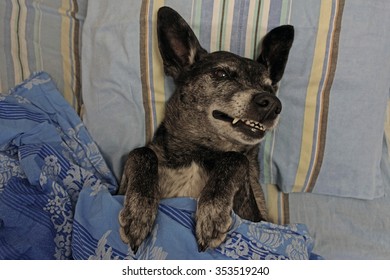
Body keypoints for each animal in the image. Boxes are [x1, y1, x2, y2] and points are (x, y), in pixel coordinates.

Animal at [117, 6, 294, 253]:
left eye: (269, 87)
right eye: (222, 74)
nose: (272, 104)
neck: (199, 153)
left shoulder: (253, 219)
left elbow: (235, 159)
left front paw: (212, 212)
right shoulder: (117, 190)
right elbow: (141, 152)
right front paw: (138, 211)